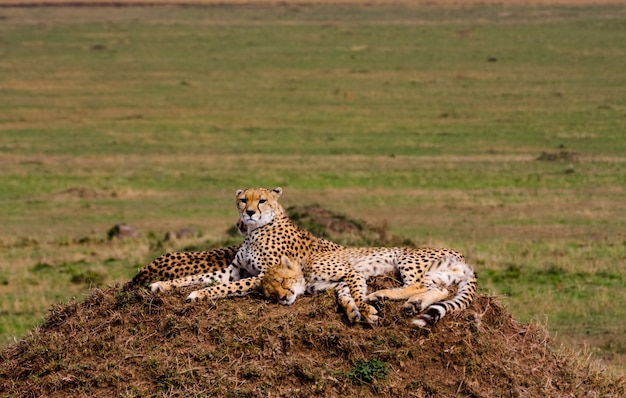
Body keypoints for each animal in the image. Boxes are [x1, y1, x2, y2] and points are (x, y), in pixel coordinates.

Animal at [149, 187, 344, 302]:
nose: (249, 213)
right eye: (243, 200)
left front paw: (199, 293)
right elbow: (196, 277)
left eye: (262, 200)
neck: (253, 232)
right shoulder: (233, 270)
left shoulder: (262, 274)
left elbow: (227, 286)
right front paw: (162, 284)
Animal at [260, 247, 476, 328]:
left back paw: (380, 295)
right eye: (272, 295)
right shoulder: (341, 284)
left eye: (282, 281)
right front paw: (353, 312)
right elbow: (344, 297)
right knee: (441, 290)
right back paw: (415, 304)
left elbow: (357, 295)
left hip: (406, 257)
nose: (282, 299)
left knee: (417, 284)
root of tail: (462, 255)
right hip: (440, 275)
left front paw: (366, 311)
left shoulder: (352, 273)